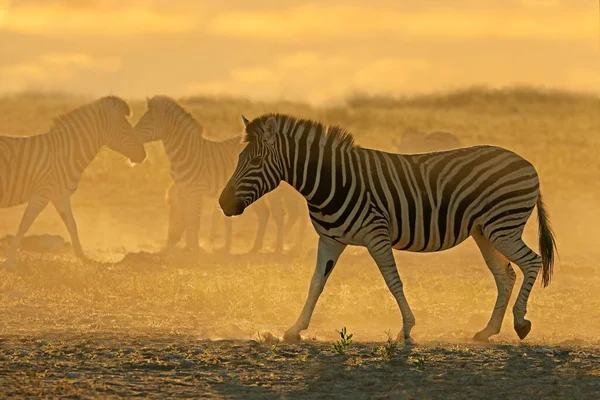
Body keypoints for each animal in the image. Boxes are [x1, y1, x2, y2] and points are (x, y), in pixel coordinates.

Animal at [1, 95, 147, 268]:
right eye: (126, 129)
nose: (144, 155)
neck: (66, 153)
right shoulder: (42, 194)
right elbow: (24, 225)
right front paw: (10, 260)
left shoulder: (60, 196)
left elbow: (72, 225)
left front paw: (83, 257)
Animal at [134, 95, 308, 255]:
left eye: (149, 119)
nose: (171, 240)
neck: (186, 152)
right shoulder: (183, 188)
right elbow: (188, 217)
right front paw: (189, 247)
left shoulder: (196, 189)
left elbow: (194, 219)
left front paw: (194, 249)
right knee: (269, 213)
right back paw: (257, 248)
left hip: (272, 191)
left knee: (281, 214)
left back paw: (278, 249)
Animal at [219, 113, 556, 344]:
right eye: (239, 158)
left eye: (256, 161)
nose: (223, 203)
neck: (331, 180)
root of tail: (528, 164)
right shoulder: (330, 240)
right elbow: (315, 284)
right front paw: (294, 329)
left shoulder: (376, 235)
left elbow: (394, 283)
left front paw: (406, 330)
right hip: (484, 232)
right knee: (505, 274)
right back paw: (488, 331)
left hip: (503, 227)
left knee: (531, 261)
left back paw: (520, 323)